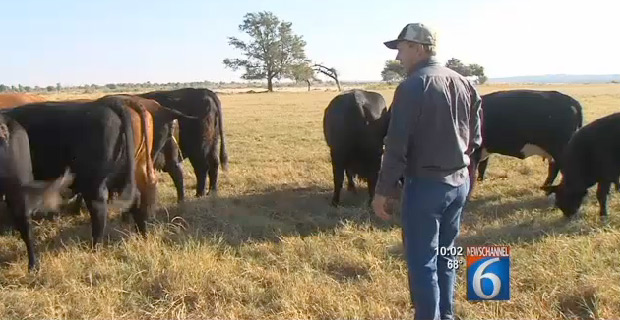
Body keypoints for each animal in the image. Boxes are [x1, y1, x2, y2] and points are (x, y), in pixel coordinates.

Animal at [2, 96, 139, 249]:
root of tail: (105, 104)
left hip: (93, 183)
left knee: (98, 208)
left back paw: (94, 245)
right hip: (122, 173)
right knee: (136, 196)